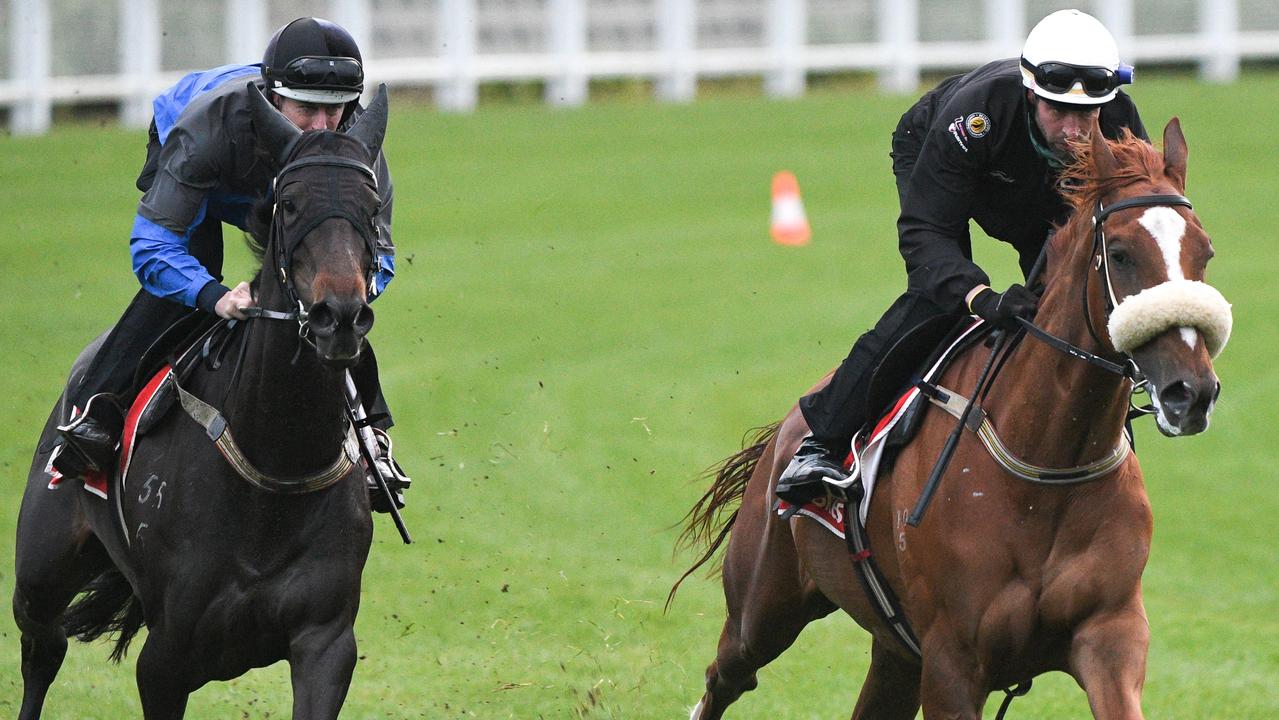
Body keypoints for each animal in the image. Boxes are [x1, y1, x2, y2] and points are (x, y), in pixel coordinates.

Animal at [13, 85, 388, 720]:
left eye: (371, 204)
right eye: (288, 204)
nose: (338, 316)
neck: (276, 465)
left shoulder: (326, 639)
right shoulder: (166, 656)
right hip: (41, 566)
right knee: (44, 645)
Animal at [680, 119, 1227, 720]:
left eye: (1204, 252)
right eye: (1123, 254)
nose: (1191, 392)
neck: (1047, 464)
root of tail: (786, 430)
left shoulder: (1111, 634)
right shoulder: (952, 662)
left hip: (896, 653)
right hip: (762, 609)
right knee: (724, 677)